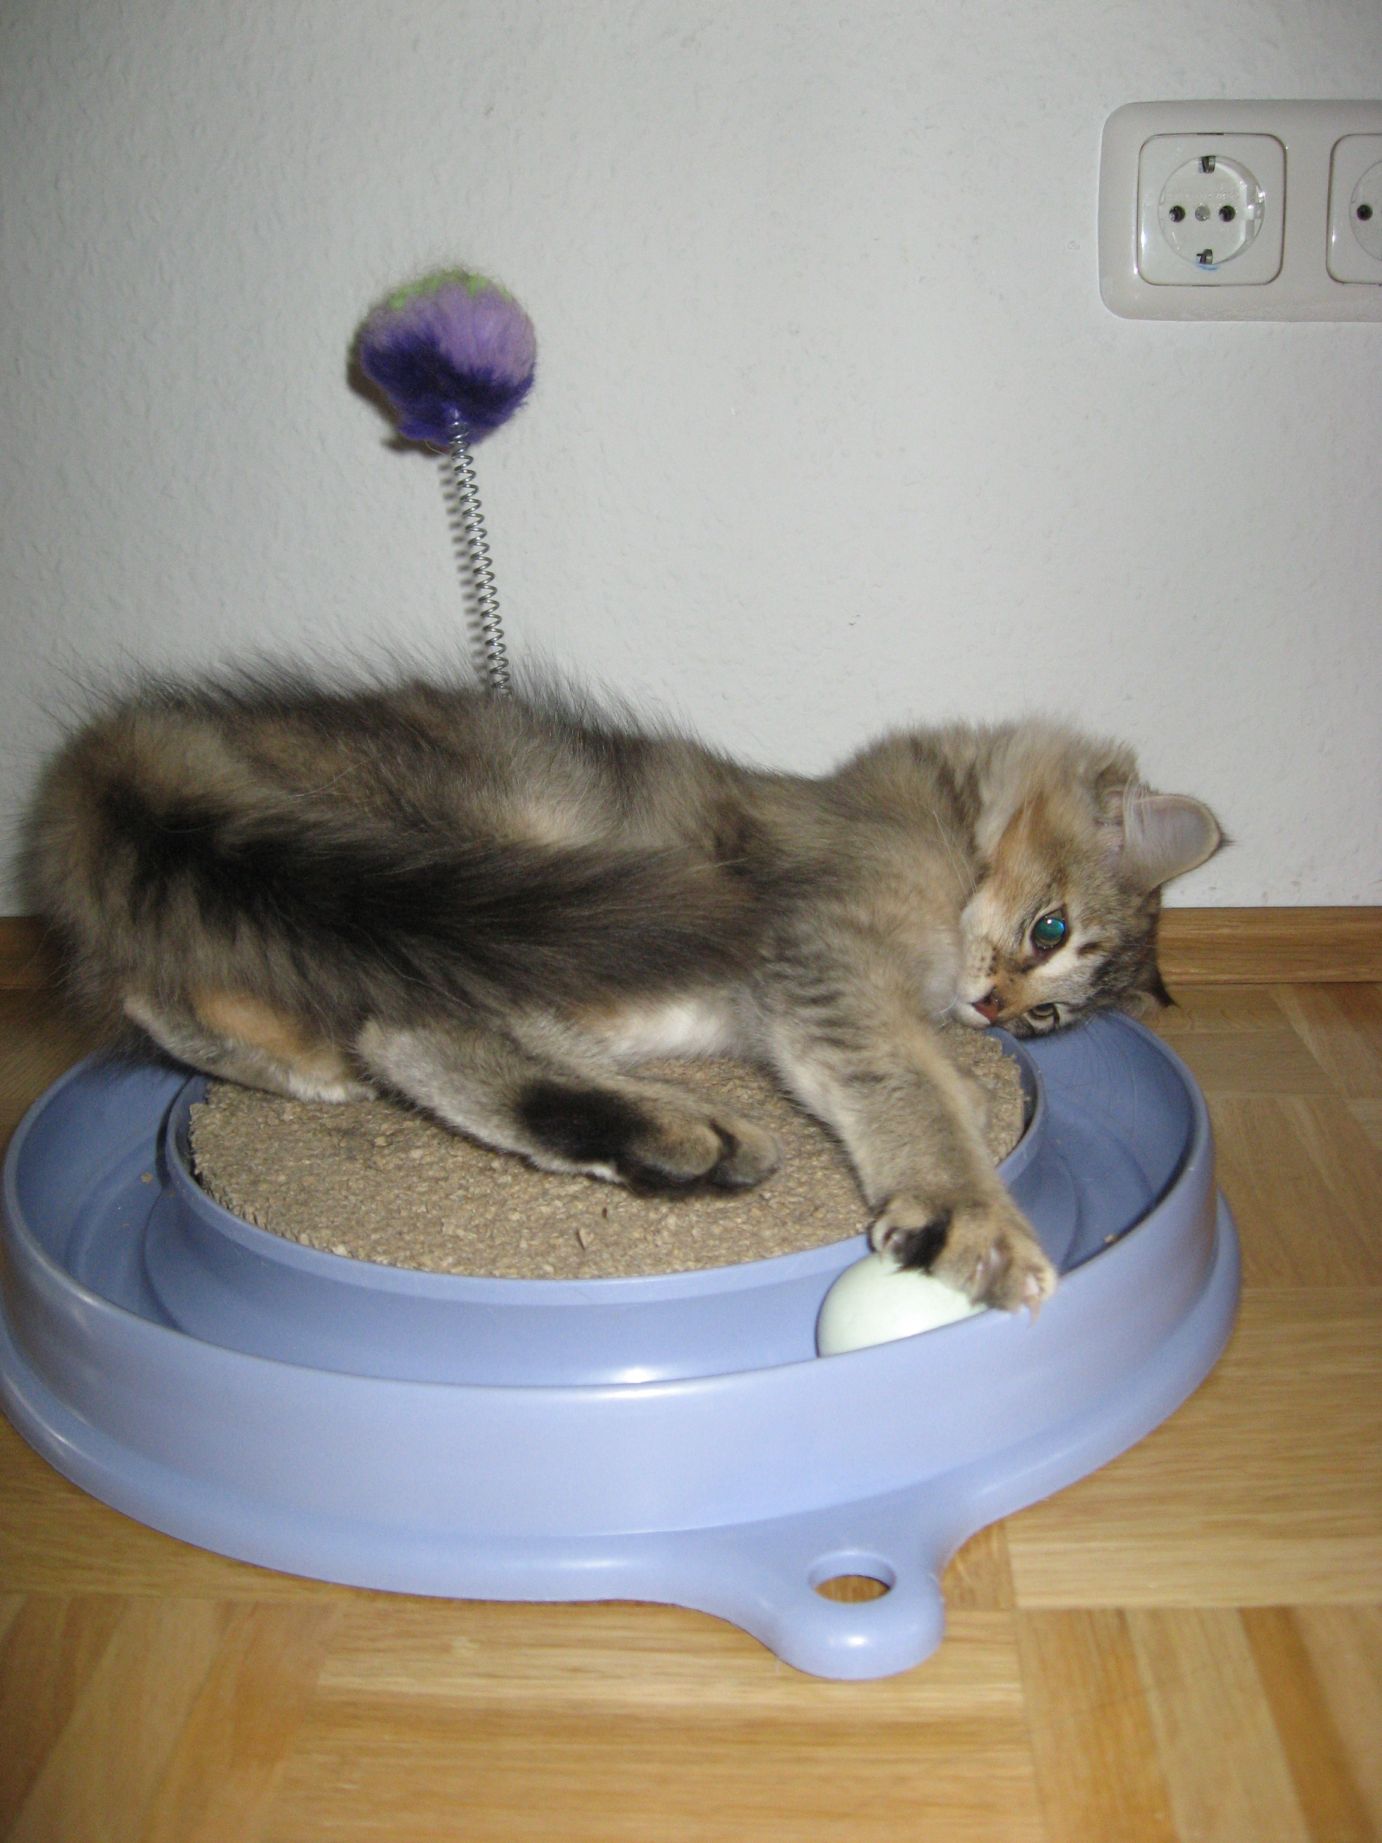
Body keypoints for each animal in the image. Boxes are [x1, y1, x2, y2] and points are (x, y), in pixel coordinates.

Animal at [25, 672, 1222, 1310]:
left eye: (1049, 1015)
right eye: (1049, 930)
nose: (994, 1011)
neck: (938, 815)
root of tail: (146, 741)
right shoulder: (820, 948)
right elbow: (914, 1088)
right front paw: (973, 1216)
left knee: (278, 1024)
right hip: (478, 866)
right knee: (418, 1029)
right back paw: (679, 1133)